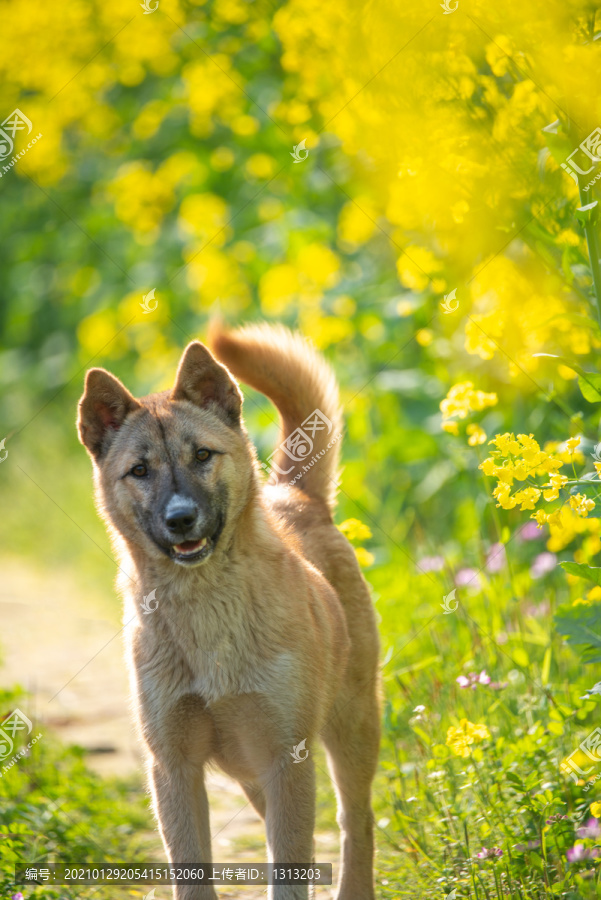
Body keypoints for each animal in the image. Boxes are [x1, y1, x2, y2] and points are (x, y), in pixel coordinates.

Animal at [77, 320, 382, 896]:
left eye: (202, 455)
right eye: (140, 470)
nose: (180, 519)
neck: (204, 608)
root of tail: (299, 497)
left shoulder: (287, 759)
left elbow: (292, 869)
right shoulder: (174, 768)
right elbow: (193, 871)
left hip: (349, 732)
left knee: (357, 822)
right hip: (251, 771)